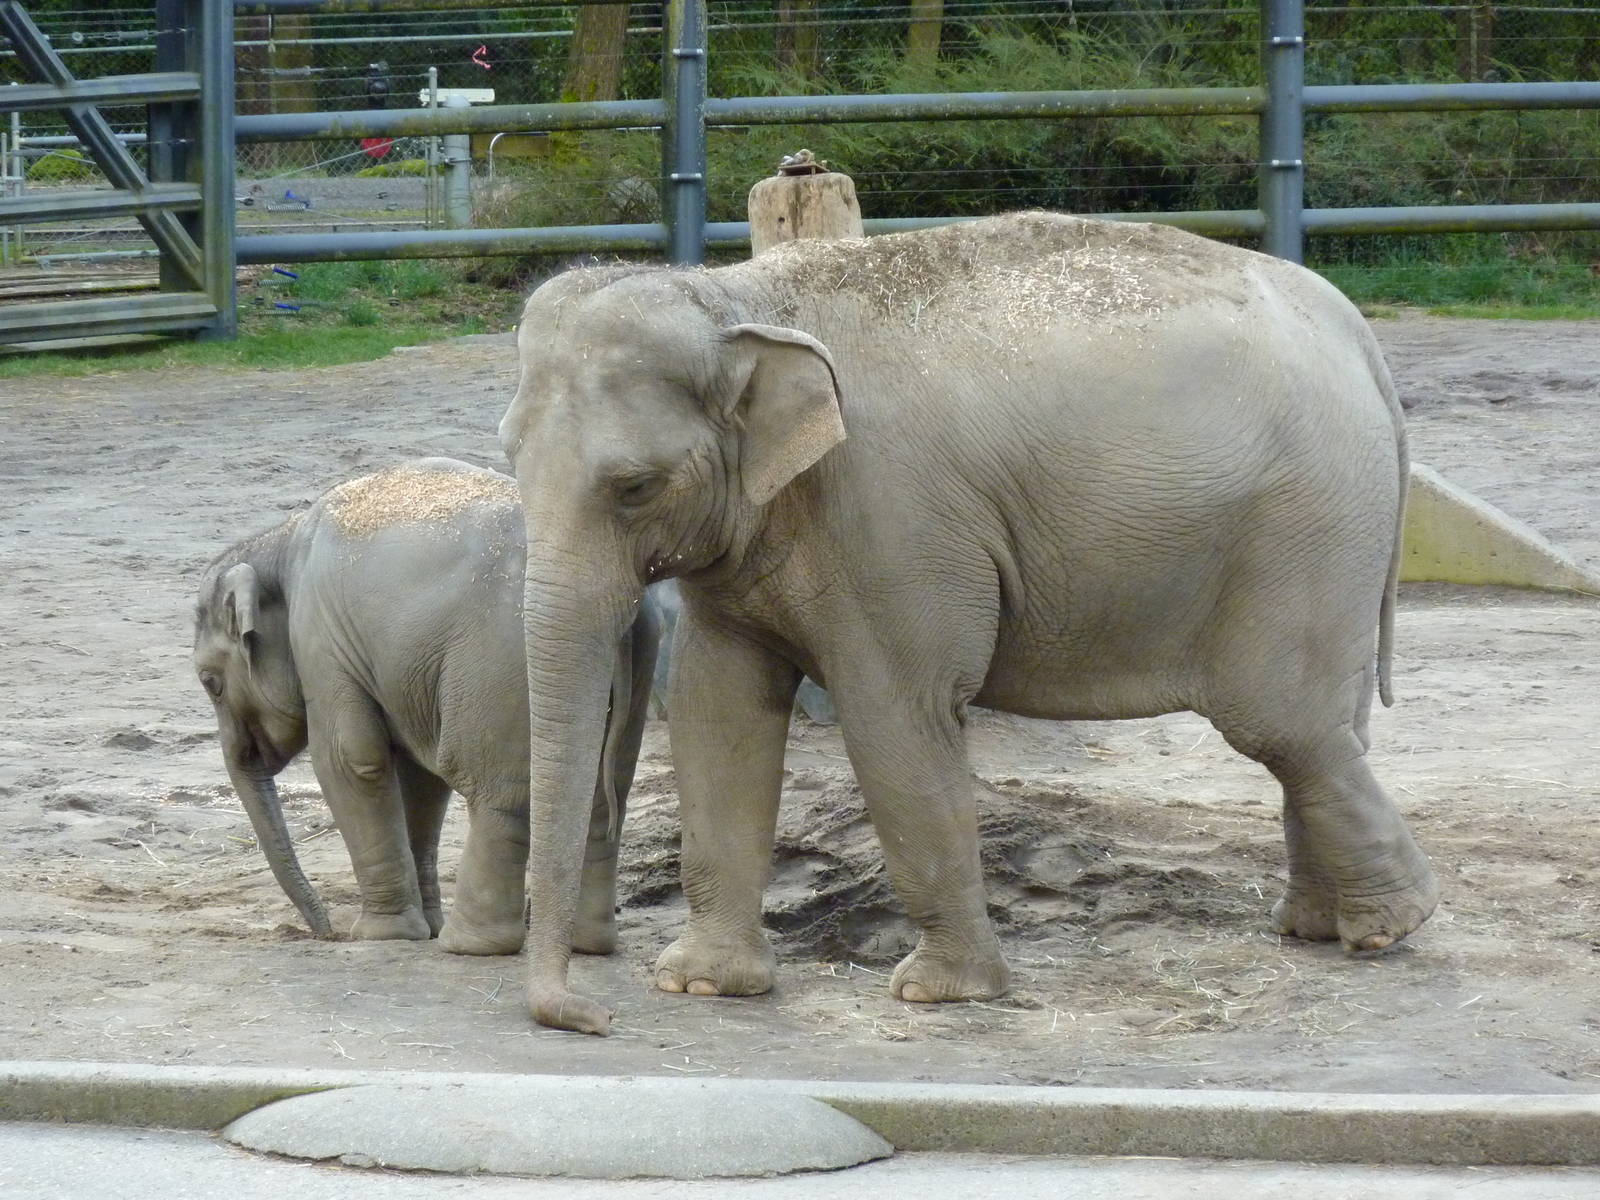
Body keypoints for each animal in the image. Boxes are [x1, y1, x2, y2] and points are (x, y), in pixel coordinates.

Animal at [191, 457, 658, 954]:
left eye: (211, 683)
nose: (323, 931)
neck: (279, 542)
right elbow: (420, 778)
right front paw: (422, 925)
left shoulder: (322, 641)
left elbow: (350, 760)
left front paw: (382, 935)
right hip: (635, 662)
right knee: (602, 797)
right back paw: (586, 944)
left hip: (502, 662)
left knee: (500, 796)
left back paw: (467, 944)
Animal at [498, 211, 1439, 1035]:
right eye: (509, 454)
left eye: (634, 487)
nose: (596, 1016)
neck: (738, 295)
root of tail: (1357, 337)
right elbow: (717, 713)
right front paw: (702, 985)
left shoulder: (895, 518)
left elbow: (897, 719)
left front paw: (939, 994)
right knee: (1327, 729)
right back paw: (1316, 928)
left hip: (1302, 528)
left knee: (1283, 727)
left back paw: (1391, 925)